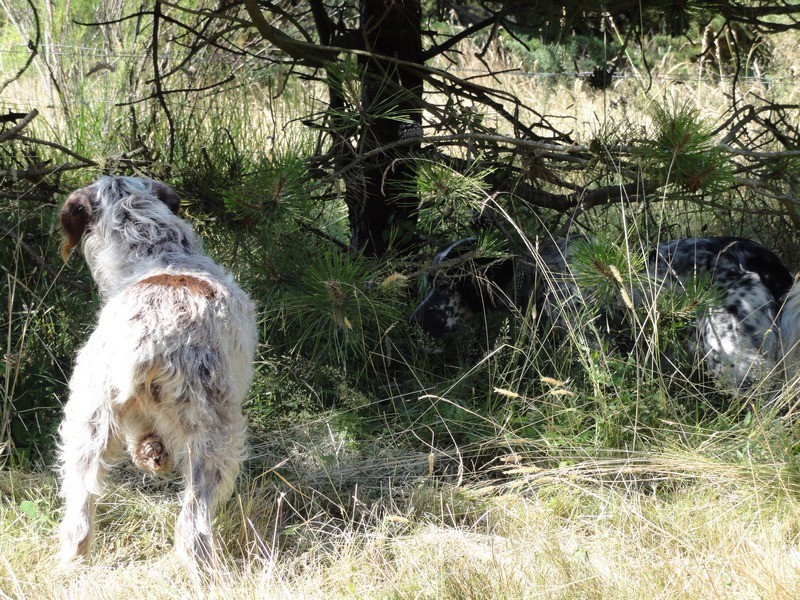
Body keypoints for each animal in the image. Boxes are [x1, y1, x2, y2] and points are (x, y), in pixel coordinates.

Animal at [57, 176, 258, 564]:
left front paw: (152, 456)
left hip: (87, 425)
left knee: (78, 519)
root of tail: (147, 335)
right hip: (213, 441)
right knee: (192, 527)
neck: (156, 249)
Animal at [410, 236, 796, 398]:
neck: (539, 276)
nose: (415, 320)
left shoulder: (593, 340)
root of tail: (760, 257)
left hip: (728, 353)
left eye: (442, 286)